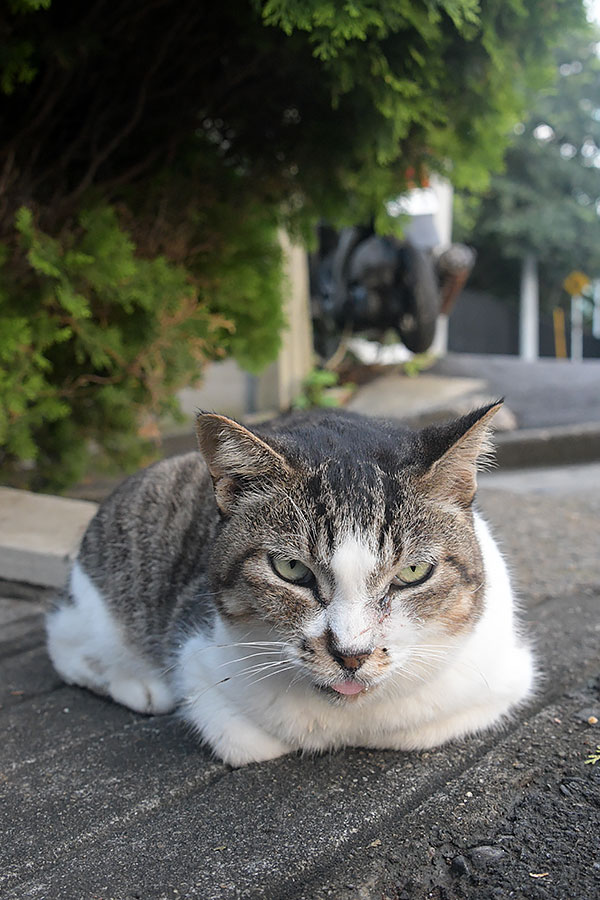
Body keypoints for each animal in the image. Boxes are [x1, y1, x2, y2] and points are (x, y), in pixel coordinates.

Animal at [45, 404, 536, 764]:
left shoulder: (503, 677)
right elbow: (245, 738)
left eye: (412, 573)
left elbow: (414, 729)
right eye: (291, 569)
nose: (351, 654)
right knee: (67, 644)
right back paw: (142, 684)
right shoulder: (199, 661)